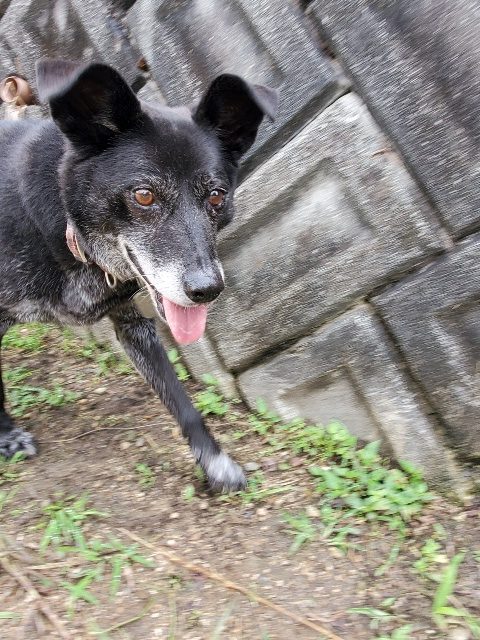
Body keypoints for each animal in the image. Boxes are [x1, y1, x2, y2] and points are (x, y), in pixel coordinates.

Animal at [0, 59, 277, 491]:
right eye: (144, 195)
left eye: (216, 196)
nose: (208, 290)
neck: (68, 227)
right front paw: (7, 436)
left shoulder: (134, 325)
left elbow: (181, 400)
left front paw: (215, 462)